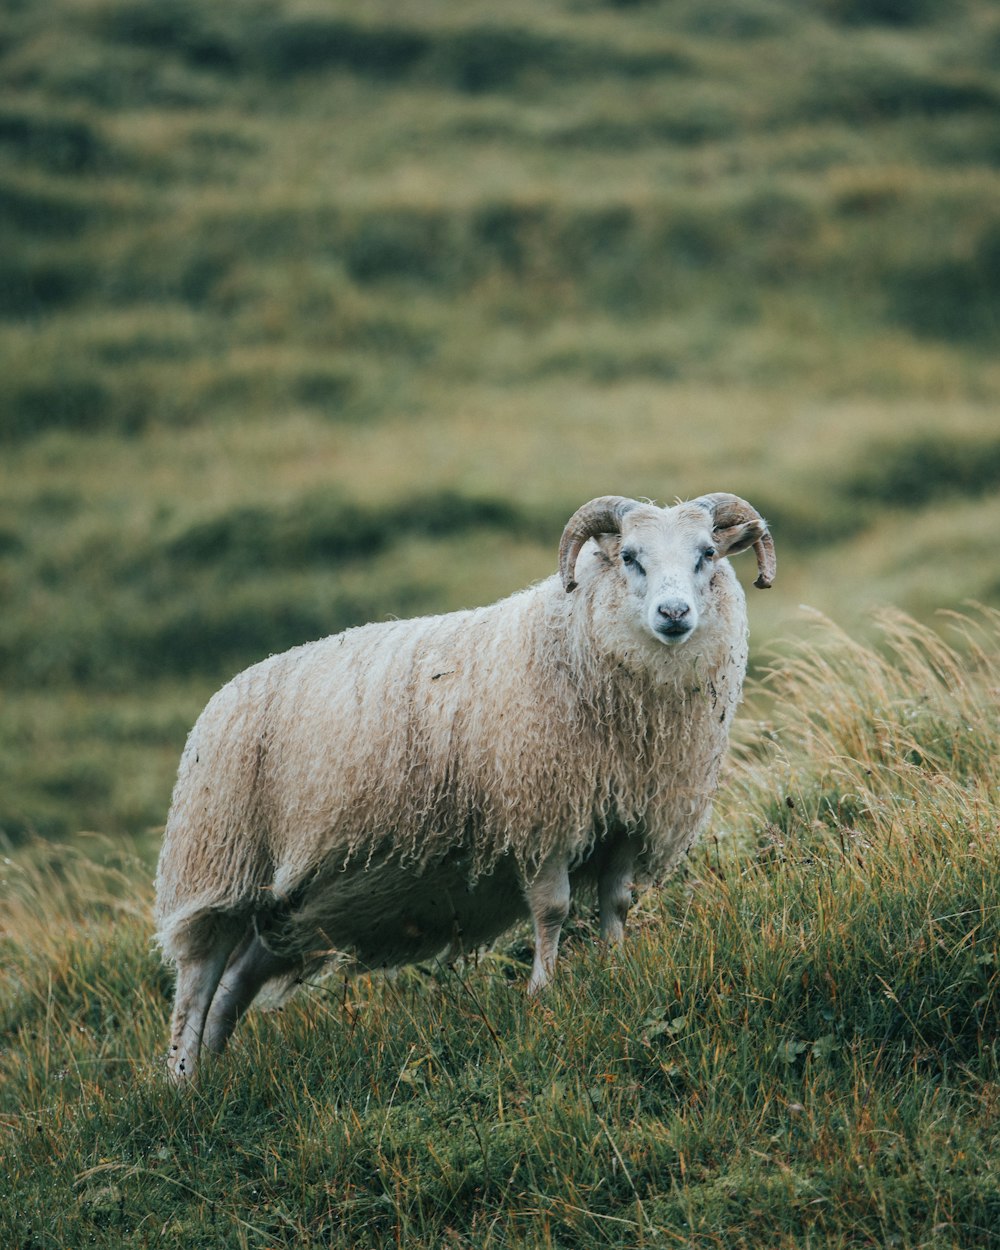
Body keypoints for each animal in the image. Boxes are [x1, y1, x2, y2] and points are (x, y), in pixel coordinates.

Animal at [152, 492, 775, 1080]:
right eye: (629, 557)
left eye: (708, 554)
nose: (674, 613)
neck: (574, 641)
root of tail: (218, 700)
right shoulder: (540, 815)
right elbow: (552, 909)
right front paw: (543, 993)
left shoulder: (628, 816)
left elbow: (616, 903)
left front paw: (618, 971)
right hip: (220, 864)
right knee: (197, 981)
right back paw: (182, 1080)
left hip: (286, 903)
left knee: (232, 987)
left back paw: (212, 1079)